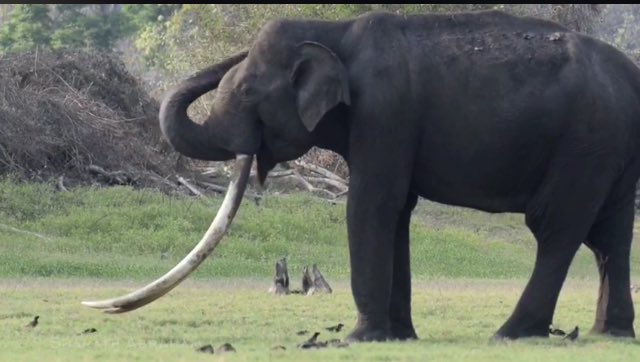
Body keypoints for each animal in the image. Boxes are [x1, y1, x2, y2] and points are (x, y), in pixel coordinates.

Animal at [85, 9, 640, 342]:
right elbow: (397, 212)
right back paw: (608, 334)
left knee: (556, 228)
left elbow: (372, 204)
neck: (335, 29)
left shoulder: (385, 111)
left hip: (585, 143)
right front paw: (398, 337)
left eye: (245, 93)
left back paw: (511, 332)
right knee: (610, 236)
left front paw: (357, 338)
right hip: (613, 149)